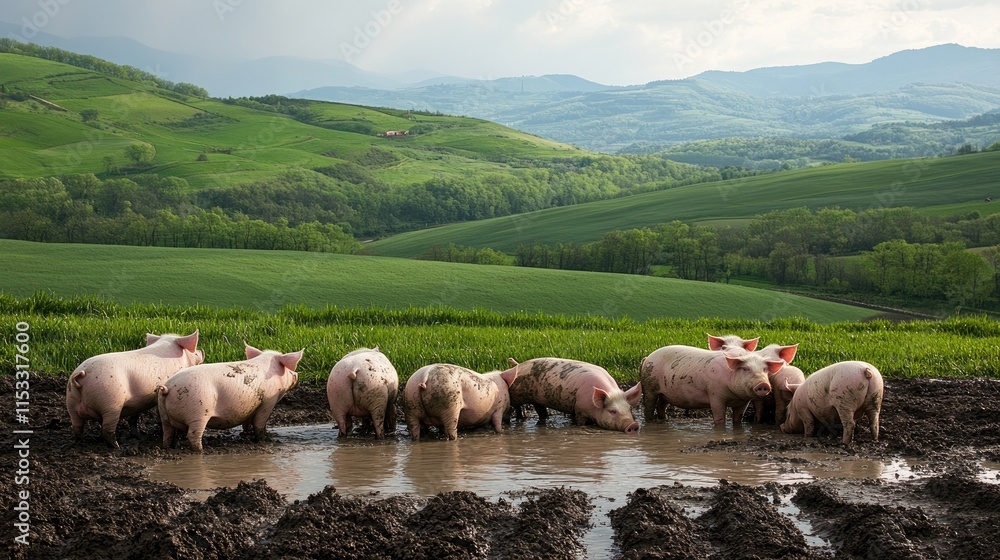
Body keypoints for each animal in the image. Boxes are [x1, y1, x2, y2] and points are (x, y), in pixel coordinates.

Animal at [66, 330, 203, 449]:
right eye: (194, 349)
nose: (202, 350)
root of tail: (83, 373)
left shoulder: (137, 402)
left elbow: (134, 418)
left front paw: (140, 436)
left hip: (71, 403)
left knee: (77, 427)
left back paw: (81, 443)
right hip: (110, 403)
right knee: (107, 430)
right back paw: (118, 447)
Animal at [157, 343, 302, 452]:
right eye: (289, 368)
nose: (297, 375)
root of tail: (168, 387)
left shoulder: (250, 407)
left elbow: (247, 423)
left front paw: (246, 434)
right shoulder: (268, 402)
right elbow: (260, 424)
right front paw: (263, 440)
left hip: (164, 414)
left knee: (168, 433)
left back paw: (168, 447)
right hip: (198, 411)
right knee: (193, 435)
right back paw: (201, 451)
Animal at [506, 358, 641, 434]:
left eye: (629, 409)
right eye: (612, 411)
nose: (633, 425)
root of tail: (518, 365)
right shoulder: (580, 410)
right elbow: (580, 422)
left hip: (537, 400)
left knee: (540, 412)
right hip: (515, 395)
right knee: (513, 408)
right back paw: (514, 421)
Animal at [640, 346, 782, 427]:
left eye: (765, 370)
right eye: (746, 369)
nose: (763, 384)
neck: (734, 396)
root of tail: (647, 357)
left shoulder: (743, 402)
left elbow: (738, 418)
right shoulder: (715, 395)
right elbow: (719, 417)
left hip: (665, 393)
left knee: (661, 405)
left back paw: (665, 419)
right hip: (649, 388)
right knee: (649, 407)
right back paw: (650, 422)